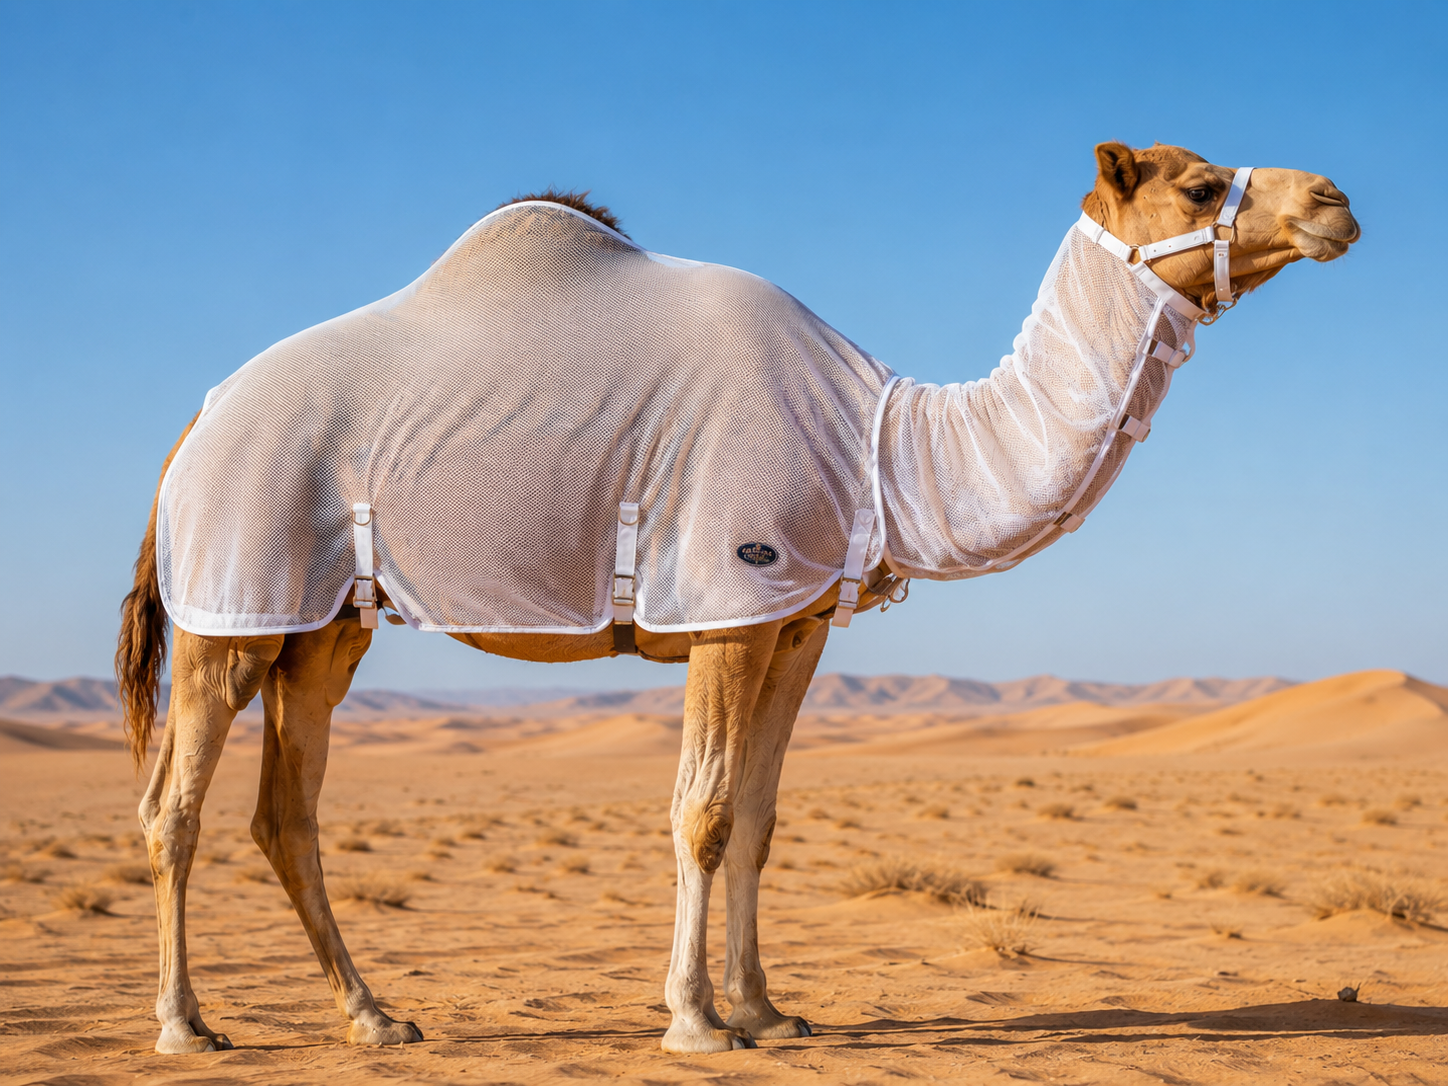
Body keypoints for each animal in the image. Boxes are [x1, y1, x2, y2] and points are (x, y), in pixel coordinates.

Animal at [116, 142, 1359, 1055]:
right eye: (1196, 183)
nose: (1334, 198)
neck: (883, 444)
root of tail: (194, 423)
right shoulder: (723, 596)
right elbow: (701, 811)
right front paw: (694, 1023)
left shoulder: (794, 622)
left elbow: (758, 818)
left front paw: (766, 1010)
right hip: (233, 598)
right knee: (173, 804)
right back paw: (186, 1027)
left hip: (316, 626)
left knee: (287, 811)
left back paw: (376, 1019)